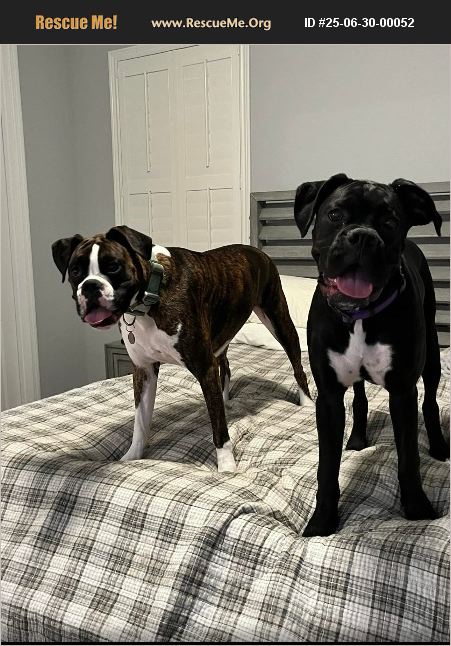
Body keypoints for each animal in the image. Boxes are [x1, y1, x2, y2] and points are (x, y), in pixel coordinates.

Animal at [52, 226, 311, 471]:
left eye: (113, 266)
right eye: (75, 271)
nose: (90, 286)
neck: (150, 297)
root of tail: (255, 250)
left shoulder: (204, 367)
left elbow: (219, 429)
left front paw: (227, 467)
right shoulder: (144, 371)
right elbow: (140, 423)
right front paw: (132, 457)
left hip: (279, 320)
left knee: (297, 367)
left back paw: (306, 404)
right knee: (225, 367)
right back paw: (225, 400)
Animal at [293, 173, 449, 536]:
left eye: (390, 222)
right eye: (334, 214)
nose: (363, 236)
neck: (360, 316)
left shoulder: (402, 393)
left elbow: (409, 459)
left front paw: (418, 510)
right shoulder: (329, 397)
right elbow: (327, 467)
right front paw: (322, 522)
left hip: (432, 356)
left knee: (430, 402)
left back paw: (438, 446)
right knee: (361, 398)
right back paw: (357, 438)